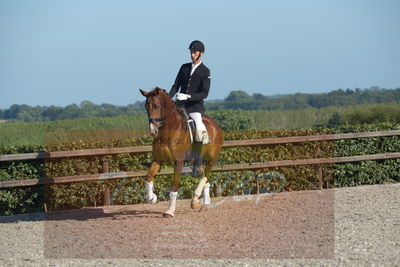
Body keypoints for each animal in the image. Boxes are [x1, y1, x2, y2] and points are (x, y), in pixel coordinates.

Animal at [139, 88, 223, 218]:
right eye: (146, 106)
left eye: (157, 106)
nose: (153, 131)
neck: (167, 132)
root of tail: (214, 124)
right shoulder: (158, 160)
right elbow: (148, 178)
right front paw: (152, 198)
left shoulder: (178, 162)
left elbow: (174, 186)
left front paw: (169, 211)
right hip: (200, 160)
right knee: (205, 177)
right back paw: (203, 202)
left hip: (211, 159)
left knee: (205, 176)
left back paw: (195, 202)